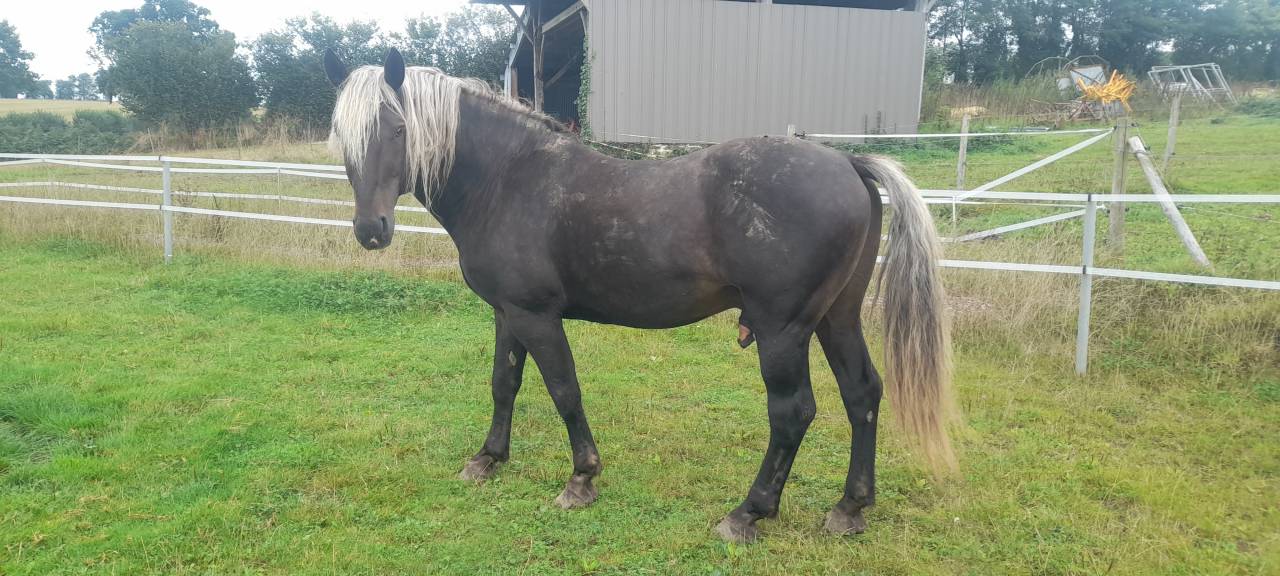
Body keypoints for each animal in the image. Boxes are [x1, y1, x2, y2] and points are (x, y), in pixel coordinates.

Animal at [323, 48, 955, 543]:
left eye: (398, 129)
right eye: (344, 139)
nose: (371, 230)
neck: (509, 180)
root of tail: (847, 161)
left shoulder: (537, 316)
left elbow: (564, 390)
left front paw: (581, 479)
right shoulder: (508, 313)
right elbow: (505, 384)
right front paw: (488, 459)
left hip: (783, 330)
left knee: (793, 412)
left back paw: (747, 513)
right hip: (836, 319)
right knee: (862, 394)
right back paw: (850, 508)